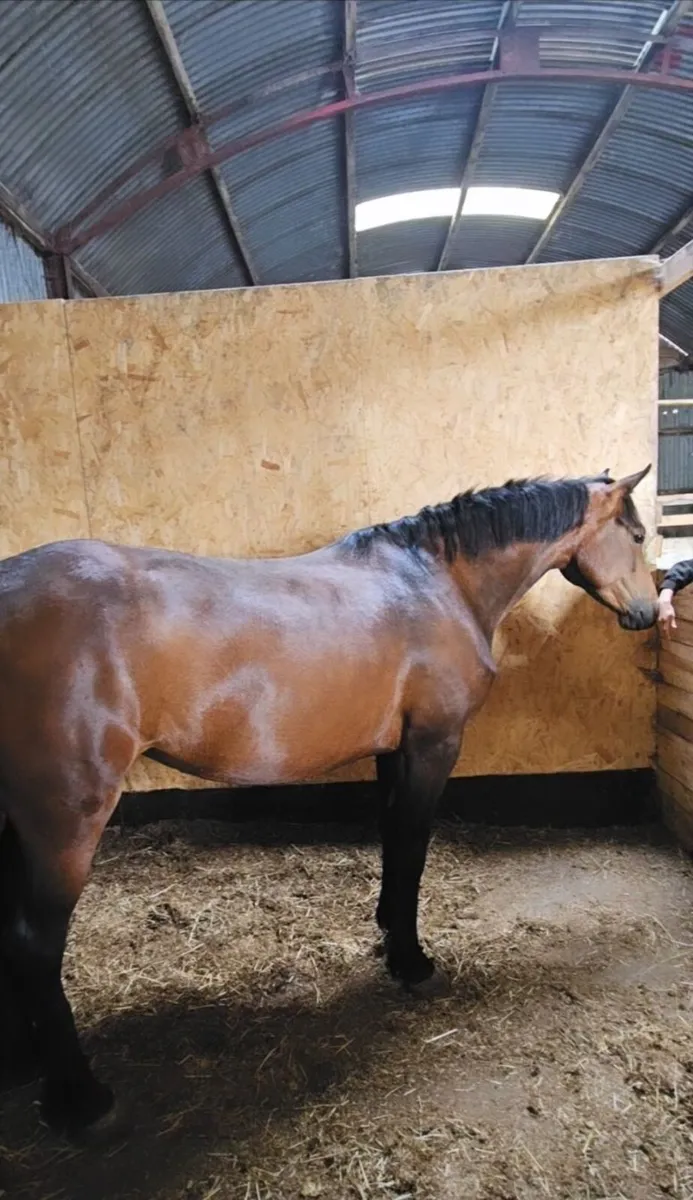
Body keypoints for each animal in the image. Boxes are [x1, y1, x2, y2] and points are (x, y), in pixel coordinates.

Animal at [0, 465, 656, 1140]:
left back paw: (22, 1063)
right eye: (636, 534)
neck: (435, 582)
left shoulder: (394, 752)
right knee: (34, 944)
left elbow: (394, 842)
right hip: (65, 822)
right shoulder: (432, 744)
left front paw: (390, 933)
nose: (648, 611)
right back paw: (80, 1098)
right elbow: (412, 847)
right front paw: (412, 962)